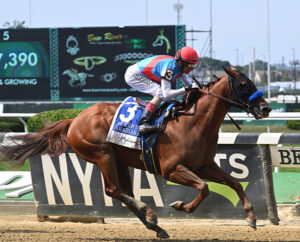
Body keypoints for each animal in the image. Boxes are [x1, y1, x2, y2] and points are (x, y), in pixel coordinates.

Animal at [0, 66, 272, 238]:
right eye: (244, 84)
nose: (266, 108)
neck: (193, 123)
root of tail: (75, 119)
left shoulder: (204, 165)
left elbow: (234, 183)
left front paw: (251, 217)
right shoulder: (171, 169)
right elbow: (204, 188)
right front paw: (181, 206)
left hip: (120, 161)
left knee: (124, 193)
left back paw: (155, 226)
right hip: (103, 155)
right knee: (113, 190)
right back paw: (149, 212)